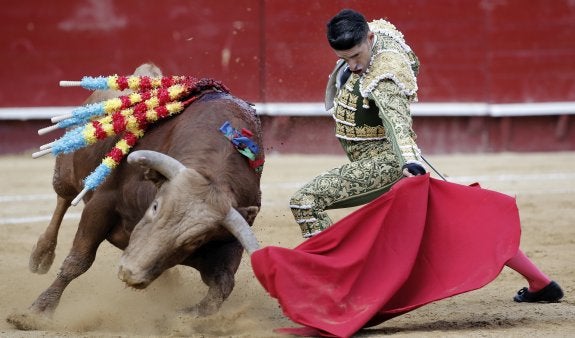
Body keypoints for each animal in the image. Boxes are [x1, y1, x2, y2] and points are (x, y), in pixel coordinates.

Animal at [7, 64, 264, 330]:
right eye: (155, 206)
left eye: (197, 239)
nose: (130, 273)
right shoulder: (101, 204)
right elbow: (78, 261)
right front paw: (36, 312)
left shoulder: (229, 238)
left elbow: (222, 286)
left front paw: (184, 317)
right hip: (66, 173)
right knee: (63, 201)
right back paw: (41, 255)